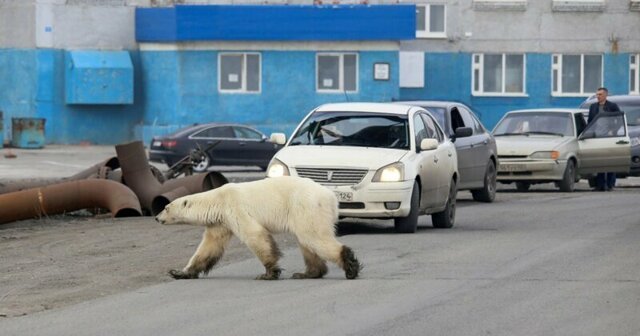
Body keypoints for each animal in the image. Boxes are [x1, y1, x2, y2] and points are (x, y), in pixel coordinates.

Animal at [155, 176, 360, 280]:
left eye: (166, 207)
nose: (156, 218)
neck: (218, 200)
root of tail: (331, 197)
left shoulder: (235, 208)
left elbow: (255, 235)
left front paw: (269, 273)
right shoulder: (220, 222)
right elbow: (209, 247)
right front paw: (179, 272)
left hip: (306, 206)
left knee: (313, 237)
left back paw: (350, 266)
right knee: (307, 243)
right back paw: (307, 273)